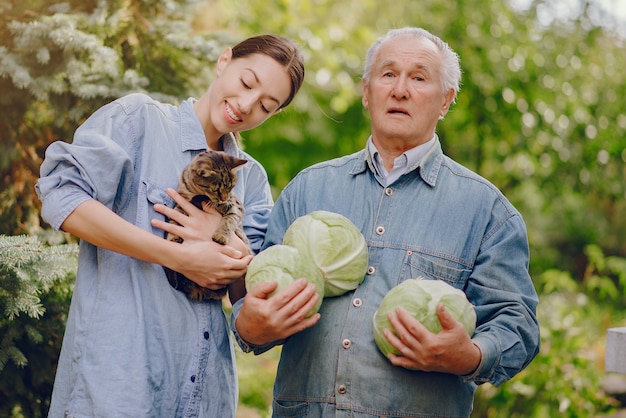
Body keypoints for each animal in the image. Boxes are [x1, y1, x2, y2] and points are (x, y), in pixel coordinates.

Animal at [166, 150, 249, 300]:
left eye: (231, 187)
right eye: (215, 190)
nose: (224, 198)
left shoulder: (235, 206)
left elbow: (229, 220)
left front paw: (221, 235)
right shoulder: (181, 203)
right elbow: (175, 218)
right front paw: (173, 236)